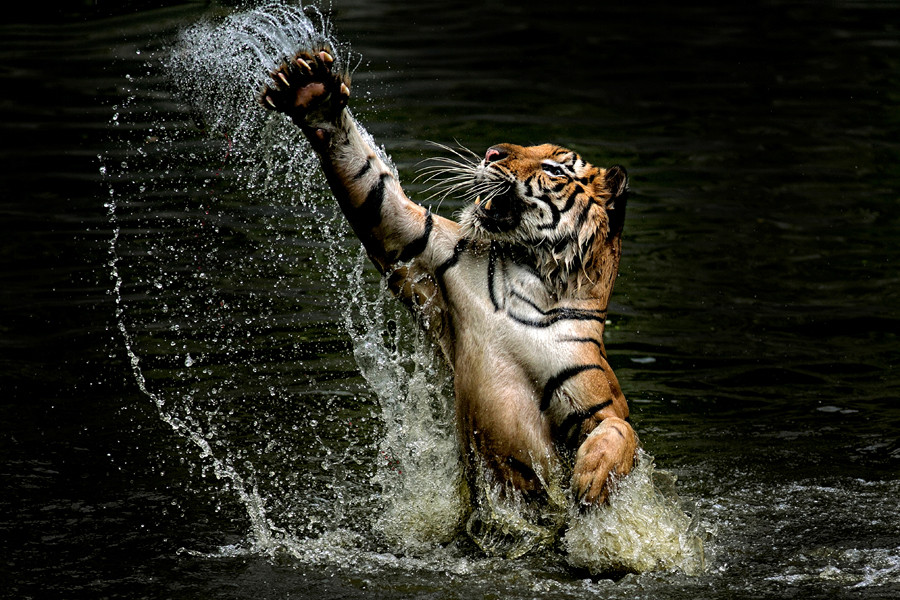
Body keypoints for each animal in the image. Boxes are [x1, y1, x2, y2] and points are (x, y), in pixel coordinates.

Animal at [260, 47, 638, 528]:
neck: (530, 279)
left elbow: (621, 429)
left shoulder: (596, 400)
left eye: (553, 167)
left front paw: (591, 479)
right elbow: (373, 186)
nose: (492, 151)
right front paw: (313, 93)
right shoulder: (422, 243)